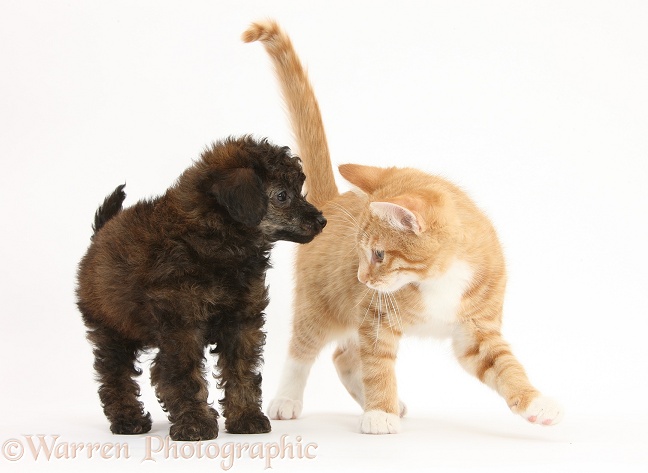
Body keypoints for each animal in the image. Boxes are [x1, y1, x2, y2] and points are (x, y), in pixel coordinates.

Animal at [243, 19, 560, 432]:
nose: (361, 278)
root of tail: (330, 201)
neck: (440, 279)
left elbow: (505, 367)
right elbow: (378, 366)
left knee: (344, 356)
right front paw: (380, 412)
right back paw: (288, 399)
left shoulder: (475, 331)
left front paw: (536, 402)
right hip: (320, 302)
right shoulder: (375, 317)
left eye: (379, 255)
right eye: (360, 253)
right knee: (305, 348)